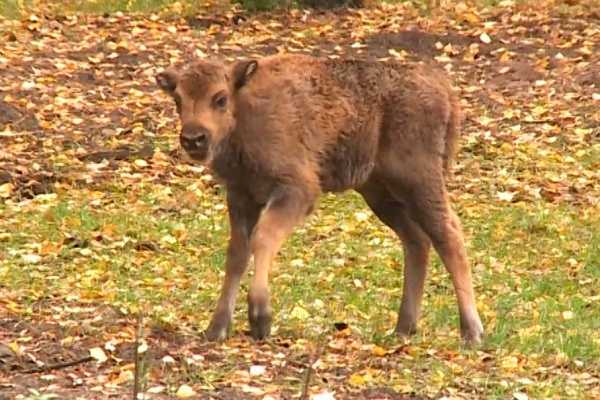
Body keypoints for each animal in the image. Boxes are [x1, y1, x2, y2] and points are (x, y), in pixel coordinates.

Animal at [157, 53, 486, 346]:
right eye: (178, 100)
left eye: (221, 99)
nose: (193, 139)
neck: (245, 109)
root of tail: (442, 87)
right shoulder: (241, 197)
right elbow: (237, 255)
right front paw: (216, 328)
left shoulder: (296, 191)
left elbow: (263, 240)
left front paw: (260, 320)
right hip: (380, 193)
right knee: (417, 240)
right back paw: (404, 328)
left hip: (419, 181)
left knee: (449, 236)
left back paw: (471, 332)